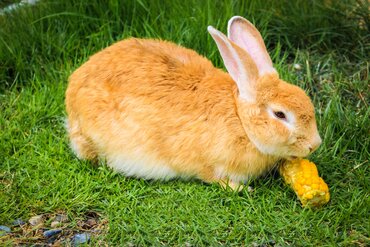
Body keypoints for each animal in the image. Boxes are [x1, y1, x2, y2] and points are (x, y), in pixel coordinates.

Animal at [66, 16, 320, 190]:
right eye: (280, 115)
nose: (314, 144)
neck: (240, 120)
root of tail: (72, 90)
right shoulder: (206, 164)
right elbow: (213, 177)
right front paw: (240, 188)